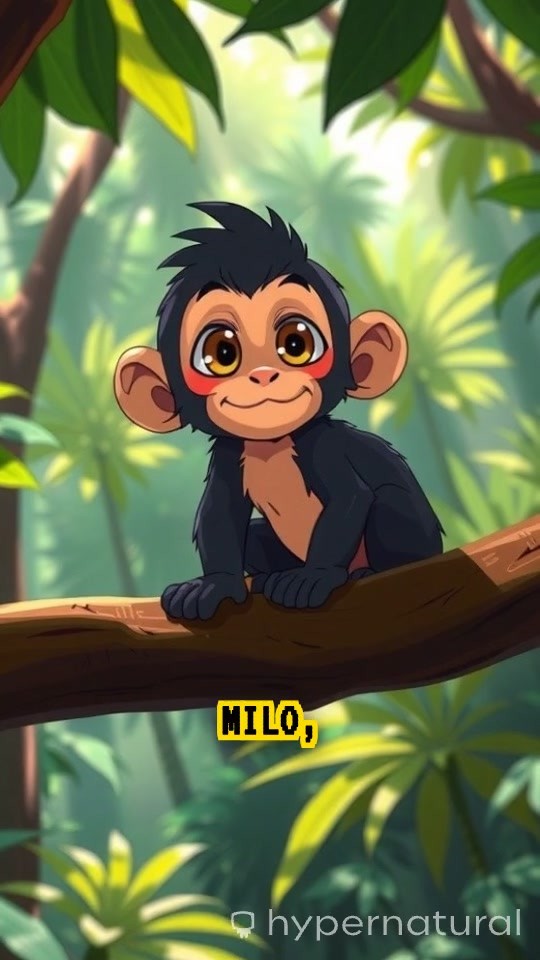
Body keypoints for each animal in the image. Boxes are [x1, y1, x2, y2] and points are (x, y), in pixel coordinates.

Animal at [114, 202, 443, 621]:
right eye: (221, 352)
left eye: (297, 342)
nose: (263, 375)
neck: (272, 443)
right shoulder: (229, 452)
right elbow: (220, 514)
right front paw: (215, 584)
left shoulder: (323, 444)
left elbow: (350, 498)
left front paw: (315, 576)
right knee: (254, 534)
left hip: (411, 535)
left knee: (387, 503)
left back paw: (364, 571)